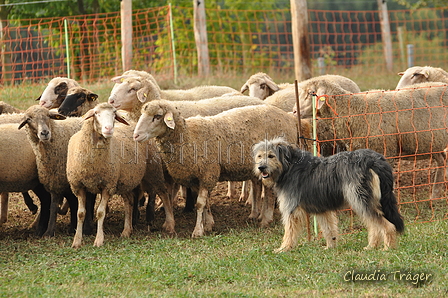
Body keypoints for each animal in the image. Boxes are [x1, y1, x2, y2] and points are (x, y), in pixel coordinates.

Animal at [18, 105, 95, 237]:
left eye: (49, 116)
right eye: (28, 119)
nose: (44, 133)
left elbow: (80, 202)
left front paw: (84, 228)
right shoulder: (55, 180)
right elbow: (54, 206)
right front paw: (49, 232)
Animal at [68, 102, 148, 247]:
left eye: (114, 114)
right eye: (96, 113)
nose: (109, 129)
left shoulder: (108, 185)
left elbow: (100, 212)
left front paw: (99, 240)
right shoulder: (78, 186)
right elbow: (80, 213)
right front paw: (76, 241)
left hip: (124, 180)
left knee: (129, 203)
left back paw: (126, 230)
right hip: (124, 181)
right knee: (129, 202)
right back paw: (127, 230)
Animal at [133, 100, 306, 237]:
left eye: (157, 116)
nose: (135, 135)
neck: (188, 136)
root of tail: (290, 119)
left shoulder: (208, 173)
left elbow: (200, 203)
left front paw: (198, 231)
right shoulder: (197, 178)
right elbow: (206, 202)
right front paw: (209, 224)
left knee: (270, 192)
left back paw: (266, 219)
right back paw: (258, 216)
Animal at [254, 139, 404, 253]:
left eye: (271, 156)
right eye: (259, 156)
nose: (261, 168)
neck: (289, 166)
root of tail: (374, 160)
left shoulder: (291, 210)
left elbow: (289, 232)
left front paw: (284, 248)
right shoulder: (322, 210)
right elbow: (329, 230)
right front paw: (330, 247)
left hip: (360, 200)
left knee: (387, 226)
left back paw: (388, 248)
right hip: (367, 201)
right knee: (374, 226)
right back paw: (371, 247)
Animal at [294, 80, 448, 199]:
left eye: (310, 93)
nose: (294, 111)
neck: (354, 110)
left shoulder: (385, 150)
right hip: (431, 142)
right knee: (442, 160)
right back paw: (435, 195)